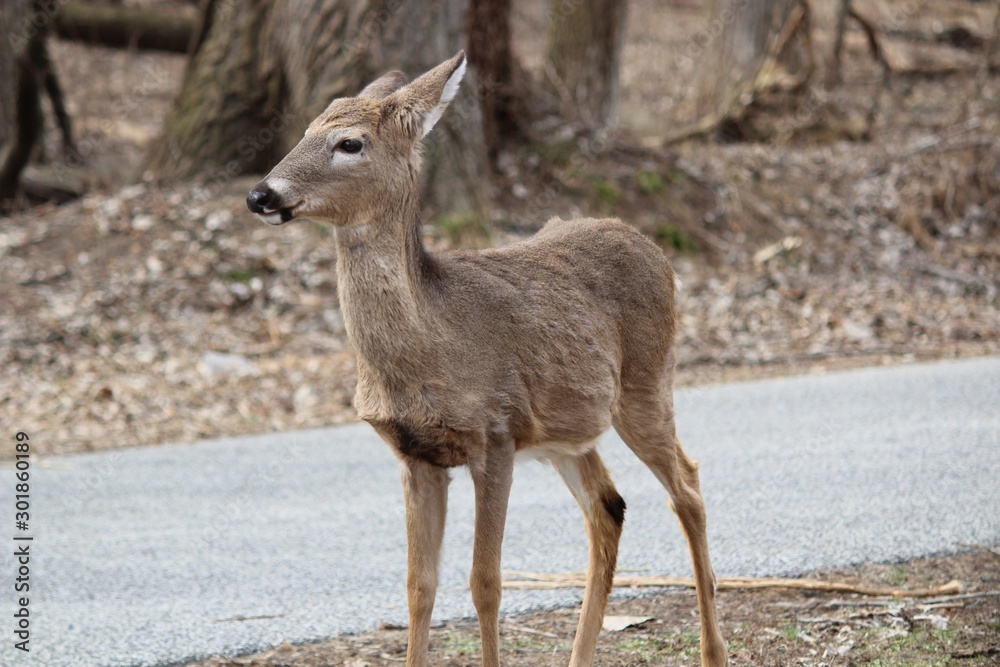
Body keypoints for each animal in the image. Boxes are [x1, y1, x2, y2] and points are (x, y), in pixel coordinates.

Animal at [242, 52, 728, 667]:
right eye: (304, 130)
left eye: (349, 142)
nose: (260, 195)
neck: (431, 341)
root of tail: (652, 247)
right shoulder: (415, 456)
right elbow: (418, 587)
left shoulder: (495, 434)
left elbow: (485, 584)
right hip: (567, 431)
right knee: (608, 507)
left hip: (646, 385)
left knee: (687, 488)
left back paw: (714, 651)